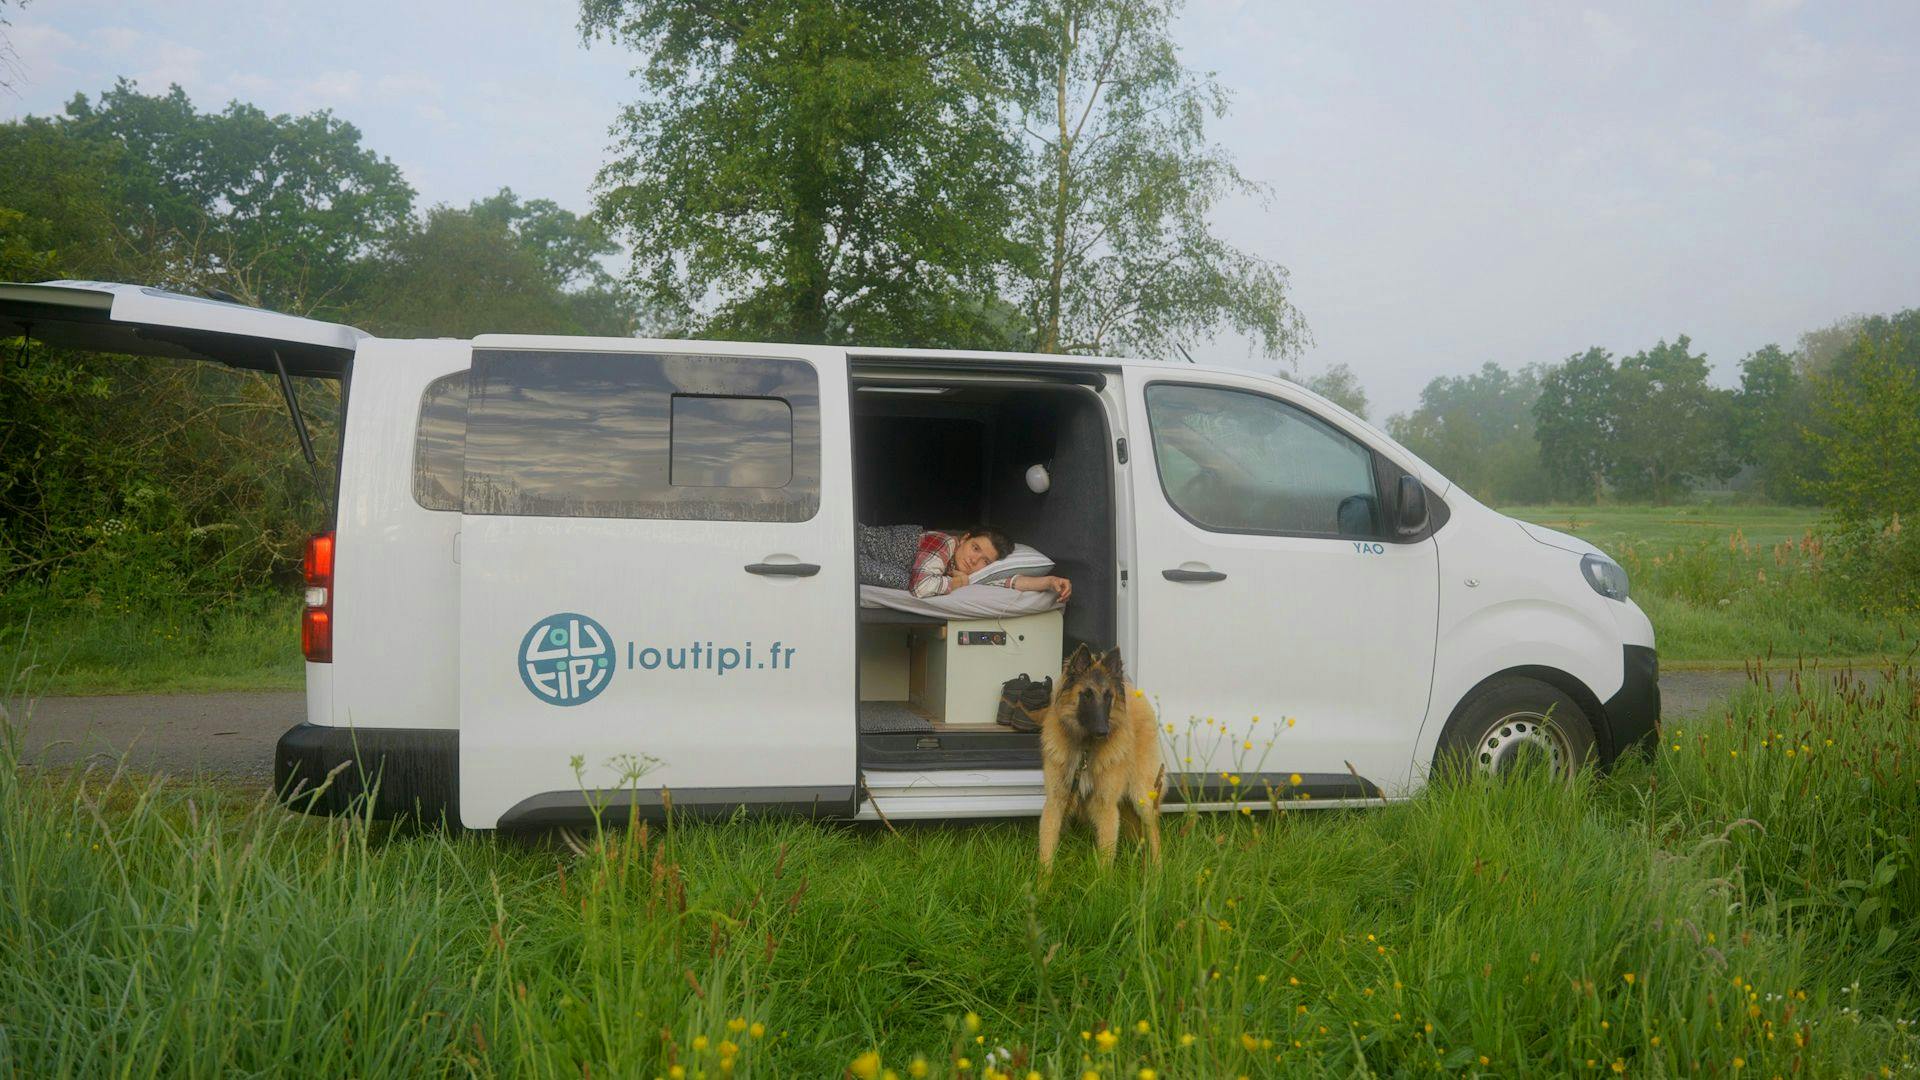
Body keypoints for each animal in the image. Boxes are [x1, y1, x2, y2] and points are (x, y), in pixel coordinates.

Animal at [1044, 638, 1159, 864]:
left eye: (1108, 696)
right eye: (1087, 695)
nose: (1102, 731)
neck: (1085, 749)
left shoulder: (1106, 807)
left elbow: (1106, 858)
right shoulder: (1055, 802)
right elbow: (1046, 853)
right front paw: (1042, 875)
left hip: (1142, 796)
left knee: (1155, 834)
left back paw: (1158, 869)